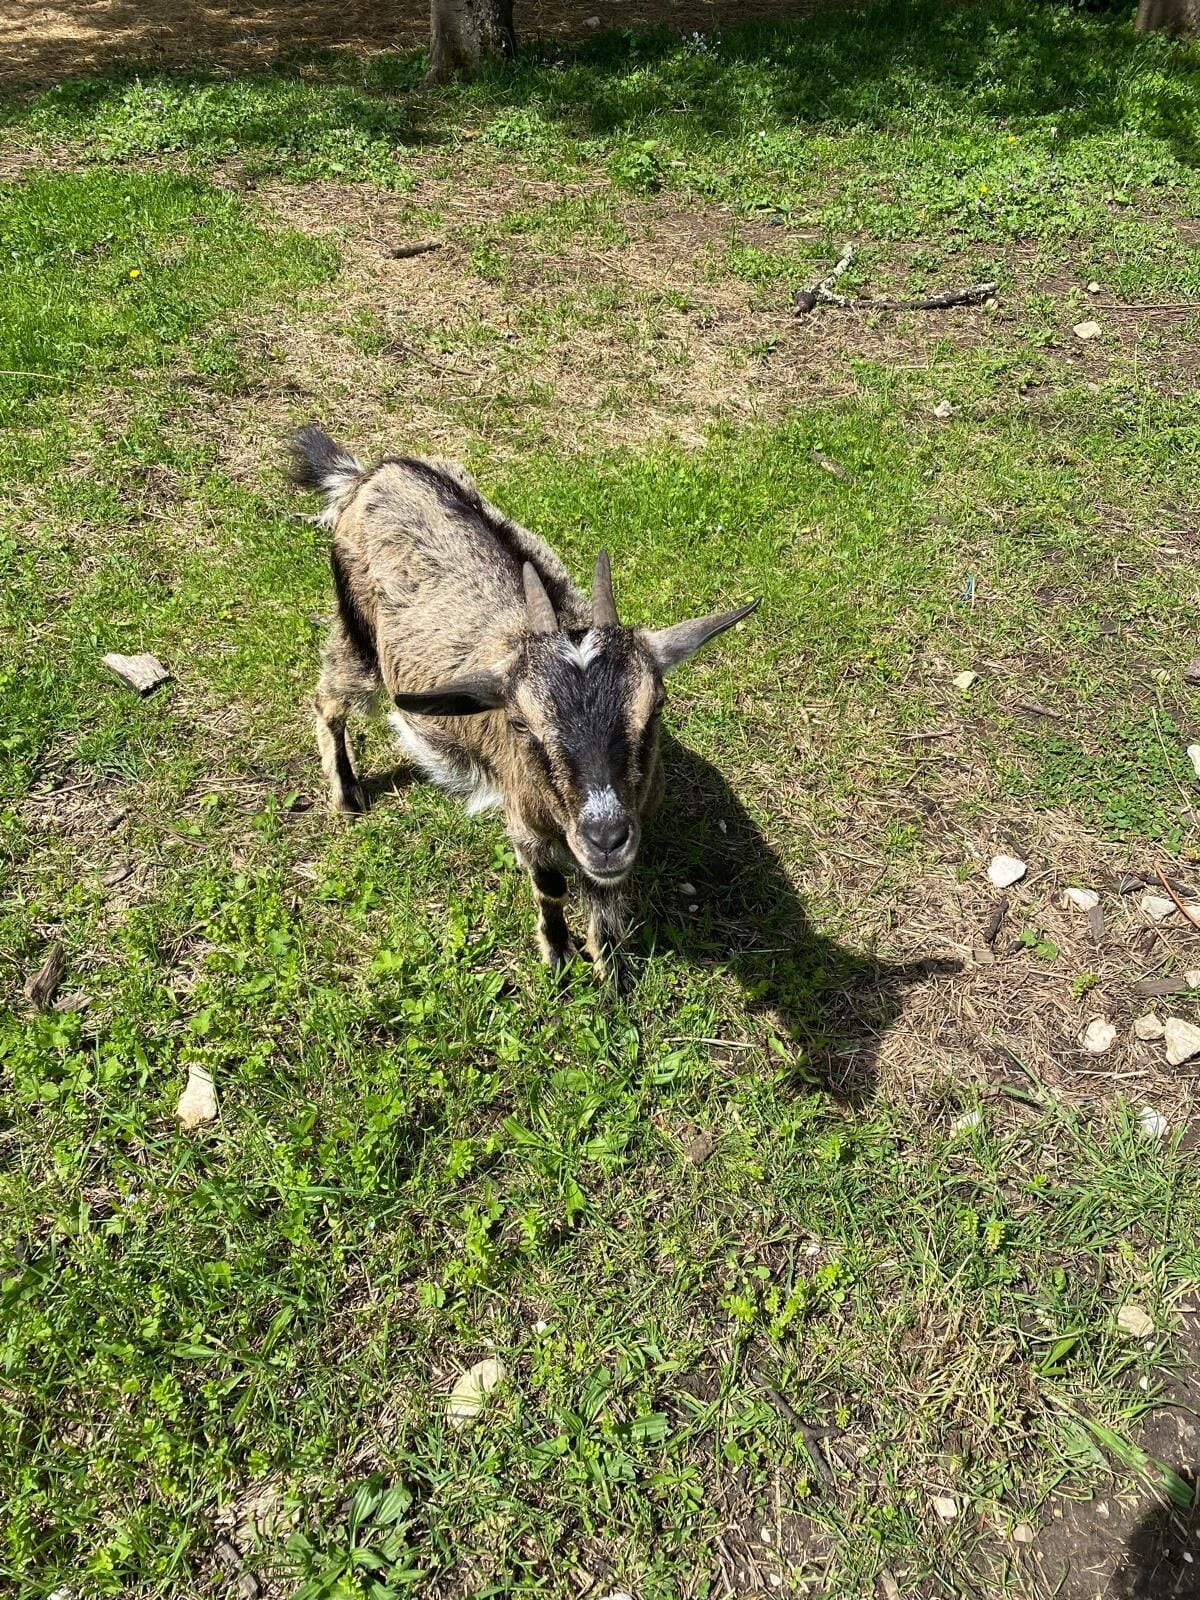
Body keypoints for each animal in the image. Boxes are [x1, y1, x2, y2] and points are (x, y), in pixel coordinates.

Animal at [291, 425, 760, 976]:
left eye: (656, 707)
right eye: (519, 724)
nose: (605, 838)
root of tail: (366, 475)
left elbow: (604, 893)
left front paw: (610, 965)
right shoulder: (525, 822)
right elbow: (549, 885)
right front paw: (558, 956)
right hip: (358, 636)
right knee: (328, 699)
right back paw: (346, 795)